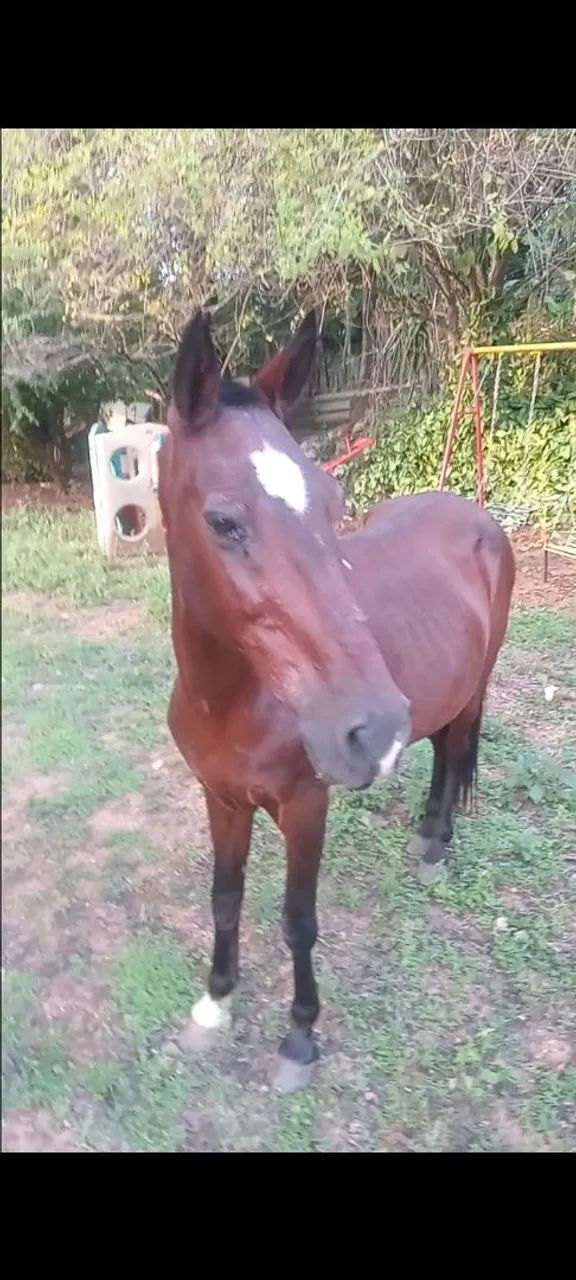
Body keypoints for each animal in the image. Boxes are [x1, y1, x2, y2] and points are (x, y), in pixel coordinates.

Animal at [158, 310, 515, 1093]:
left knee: (454, 751)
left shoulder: (304, 805)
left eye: (332, 504)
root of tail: (476, 516)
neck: (235, 701)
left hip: (473, 688)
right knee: (441, 747)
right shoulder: (219, 796)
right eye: (223, 522)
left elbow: (298, 919)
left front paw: (299, 1038)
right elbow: (225, 896)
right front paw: (214, 1003)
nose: (373, 728)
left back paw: (435, 846)